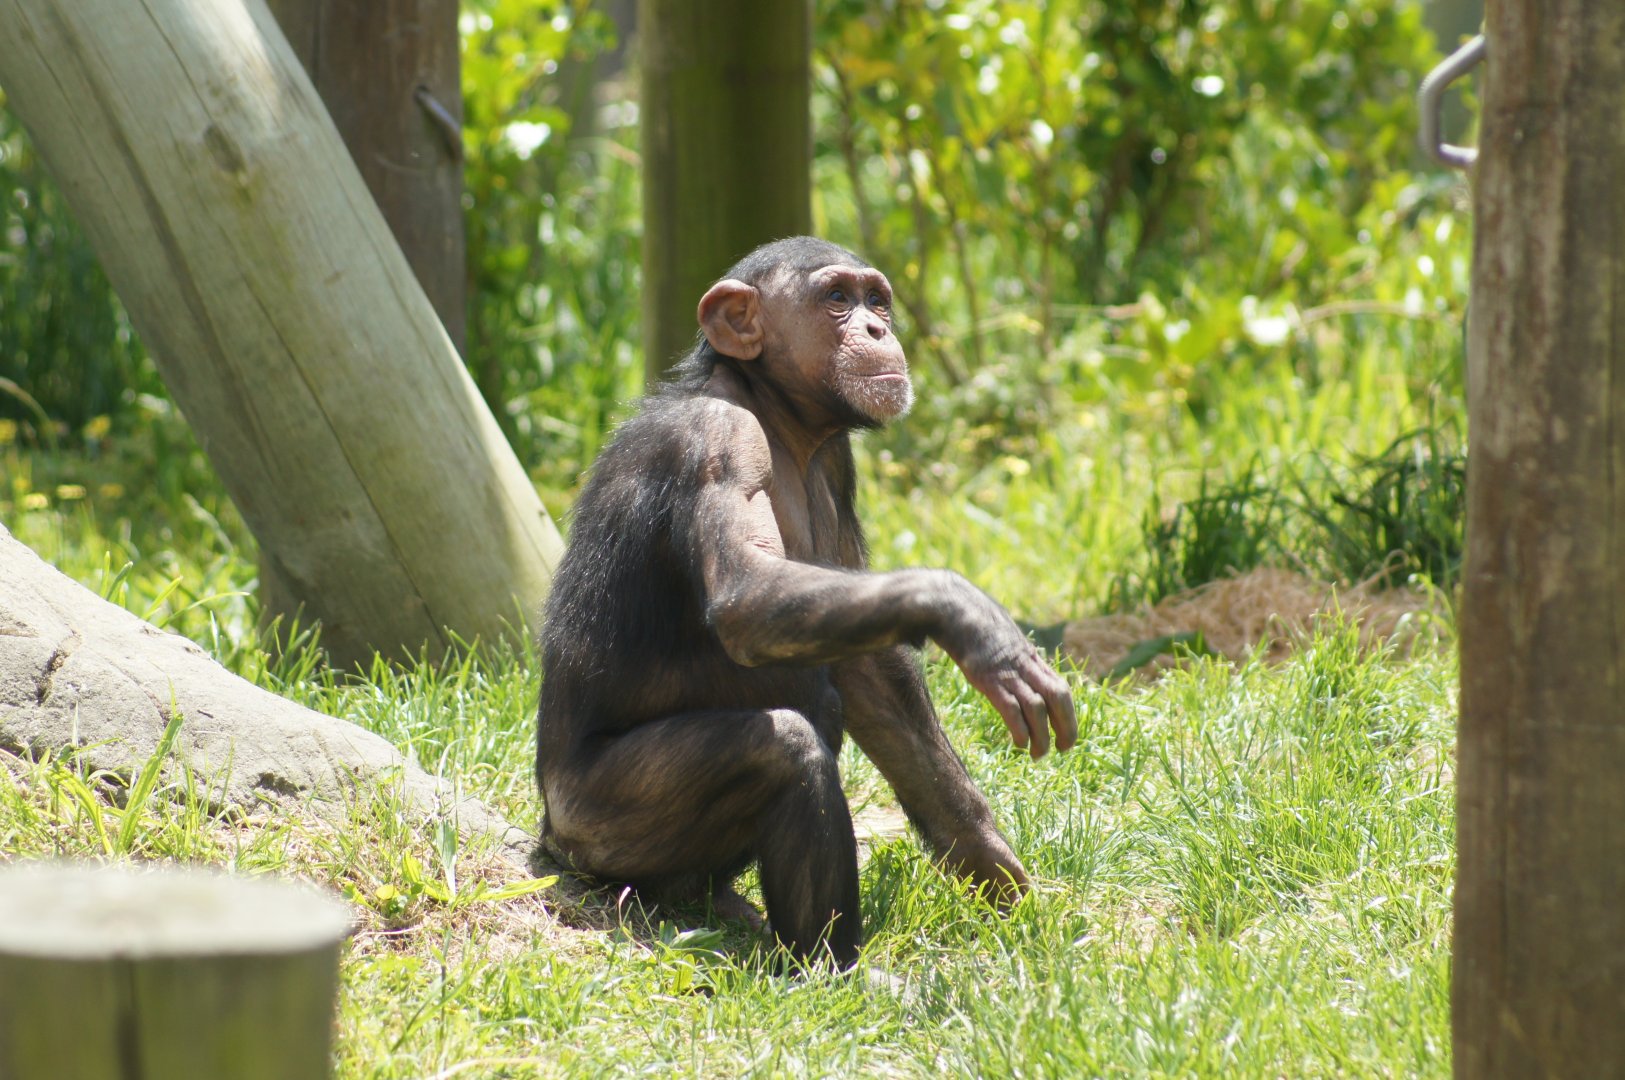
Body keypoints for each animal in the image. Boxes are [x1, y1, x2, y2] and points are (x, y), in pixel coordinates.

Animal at [536, 236, 1076, 969]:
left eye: (876, 300)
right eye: (836, 300)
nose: (875, 328)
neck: (776, 412)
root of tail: (549, 839)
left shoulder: (838, 466)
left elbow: (870, 674)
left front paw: (992, 869)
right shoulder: (721, 442)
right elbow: (747, 594)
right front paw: (968, 616)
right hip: (595, 820)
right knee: (785, 746)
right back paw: (829, 968)